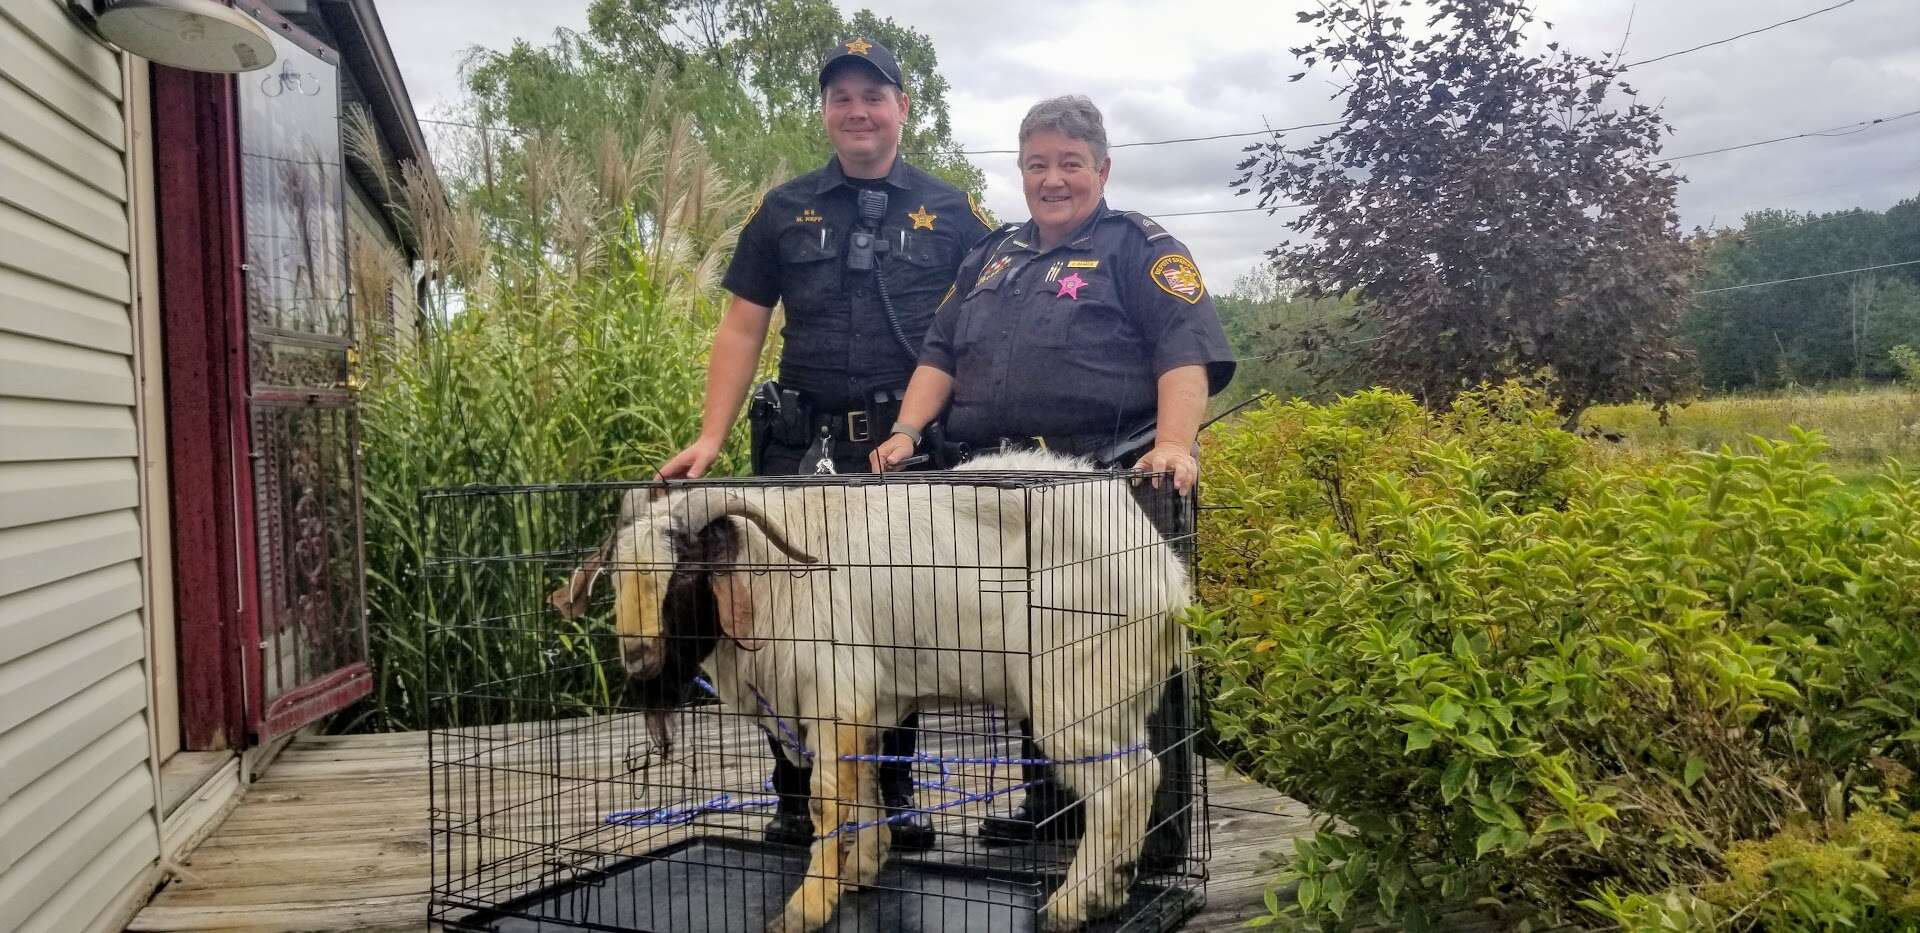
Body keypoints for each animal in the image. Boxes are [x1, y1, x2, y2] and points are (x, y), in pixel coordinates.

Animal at [583, 449, 1190, 929]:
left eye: (683, 574)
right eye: (616, 575)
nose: (638, 662)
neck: (772, 572)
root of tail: (1165, 575)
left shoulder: (834, 695)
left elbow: (828, 800)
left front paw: (806, 908)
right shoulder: (867, 707)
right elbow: (867, 788)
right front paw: (859, 872)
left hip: (1074, 692)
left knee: (1121, 784)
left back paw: (1074, 903)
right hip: (1113, 697)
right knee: (1142, 772)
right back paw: (1111, 891)